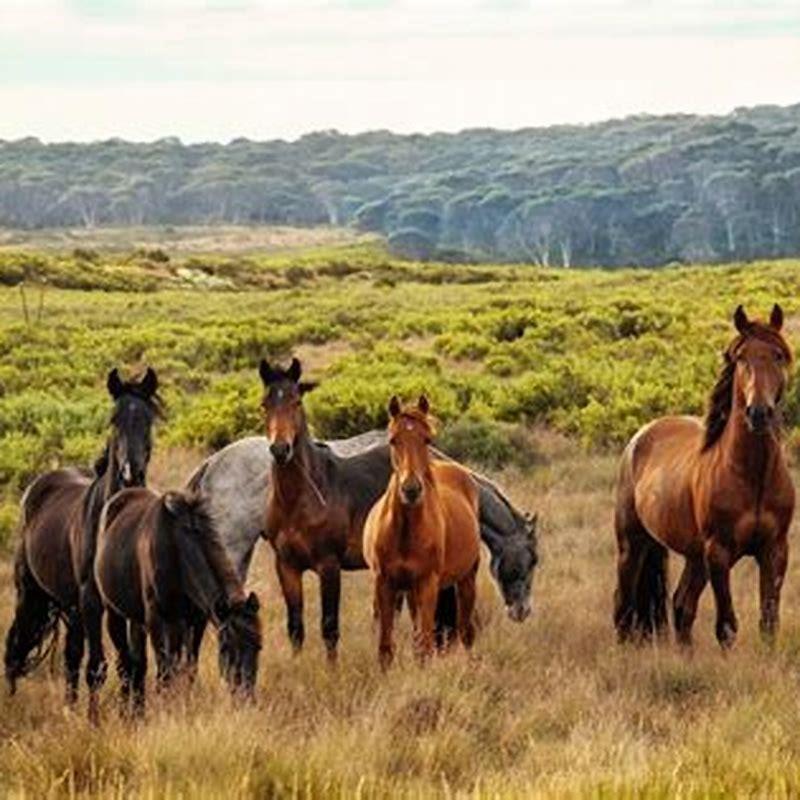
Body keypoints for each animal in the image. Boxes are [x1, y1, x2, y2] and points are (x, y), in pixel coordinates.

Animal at [4, 367, 160, 722]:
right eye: (114, 419)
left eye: (149, 418)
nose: (131, 474)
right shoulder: (91, 600)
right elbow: (98, 666)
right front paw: (94, 722)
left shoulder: (128, 603)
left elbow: (134, 662)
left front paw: (136, 715)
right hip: (32, 593)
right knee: (19, 645)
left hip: (70, 606)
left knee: (71, 656)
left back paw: (70, 707)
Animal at [95, 488, 262, 714]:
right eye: (227, 648)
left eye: (258, 647)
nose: (246, 698)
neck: (178, 550)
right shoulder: (156, 618)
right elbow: (164, 671)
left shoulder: (196, 620)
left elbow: (188, 668)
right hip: (116, 613)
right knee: (126, 664)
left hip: (150, 621)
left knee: (140, 663)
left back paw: (138, 709)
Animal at [364, 395, 481, 667]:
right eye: (393, 439)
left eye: (427, 439)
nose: (411, 490)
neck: (405, 532)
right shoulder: (385, 583)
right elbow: (385, 648)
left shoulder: (428, 584)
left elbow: (425, 646)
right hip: (410, 591)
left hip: (466, 580)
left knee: (466, 631)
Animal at [614, 304, 794, 649]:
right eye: (741, 358)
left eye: (778, 355)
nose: (758, 413)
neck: (753, 476)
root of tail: (640, 436)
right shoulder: (719, 554)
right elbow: (727, 626)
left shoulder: (775, 551)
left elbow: (769, 623)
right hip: (632, 544)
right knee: (624, 607)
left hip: (694, 556)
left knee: (681, 606)